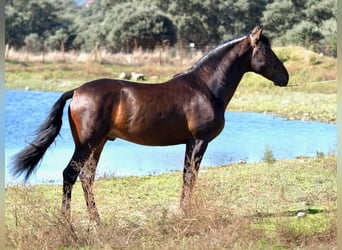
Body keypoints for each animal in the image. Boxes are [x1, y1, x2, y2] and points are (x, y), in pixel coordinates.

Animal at [11, 26, 288, 223]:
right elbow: (191, 176)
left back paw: (97, 221)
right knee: (70, 175)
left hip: (97, 145)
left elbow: (187, 176)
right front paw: (186, 212)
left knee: (86, 178)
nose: (285, 77)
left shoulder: (190, 143)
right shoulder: (199, 141)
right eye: (267, 51)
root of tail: (77, 91)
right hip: (87, 144)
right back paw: (68, 224)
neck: (205, 87)